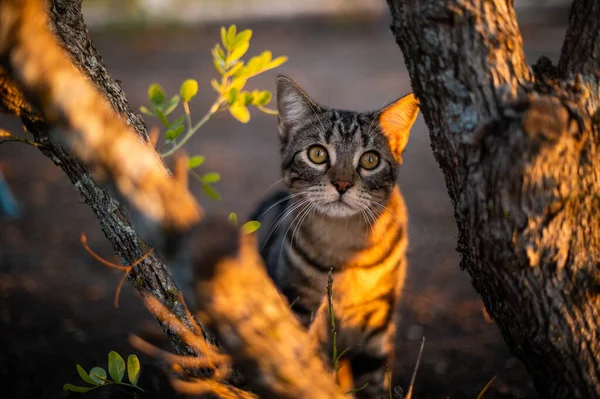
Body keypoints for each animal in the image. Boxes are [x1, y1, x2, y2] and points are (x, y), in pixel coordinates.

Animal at [251, 75, 420, 396]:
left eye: (370, 160)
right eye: (317, 154)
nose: (342, 184)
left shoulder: (378, 322)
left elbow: (374, 383)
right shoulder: (298, 304)